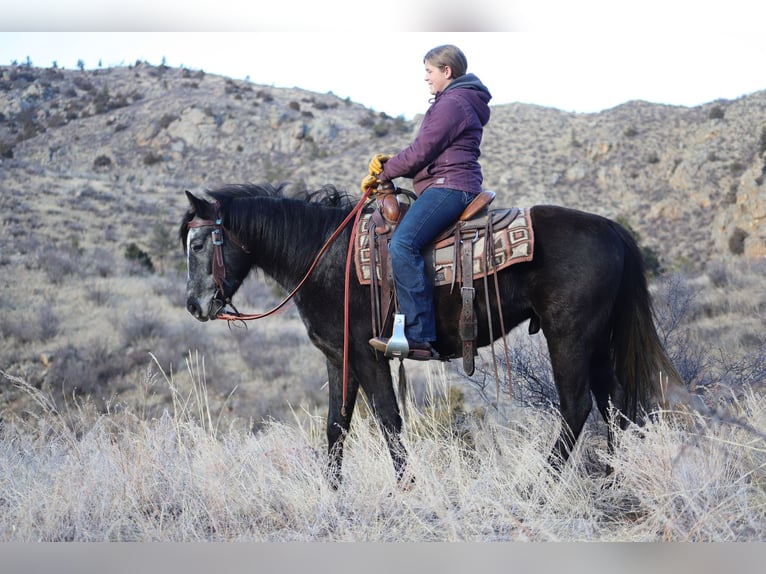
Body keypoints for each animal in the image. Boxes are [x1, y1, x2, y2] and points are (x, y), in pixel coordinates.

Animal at [182, 183, 684, 486]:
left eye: (200, 243)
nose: (194, 304)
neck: (325, 257)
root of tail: (612, 229)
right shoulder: (337, 355)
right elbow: (335, 425)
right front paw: (333, 489)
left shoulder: (367, 354)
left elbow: (388, 418)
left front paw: (405, 486)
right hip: (597, 339)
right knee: (614, 403)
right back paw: (612, 479)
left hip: (569, 337)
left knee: (577, 406)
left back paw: (540, 484)